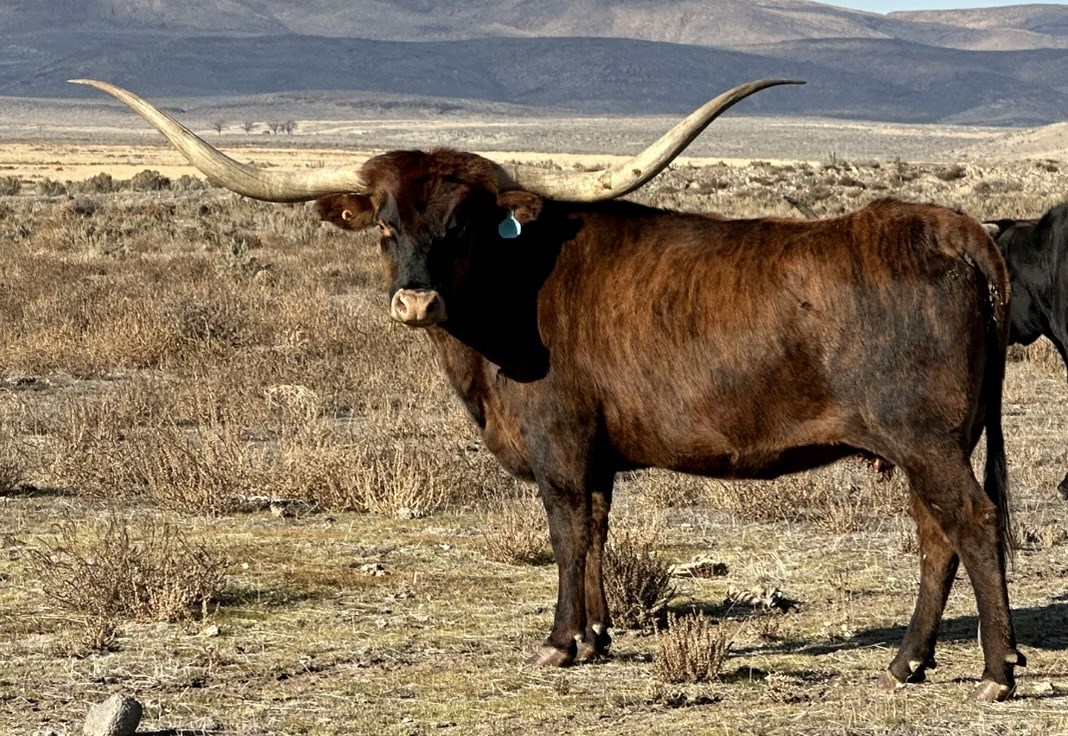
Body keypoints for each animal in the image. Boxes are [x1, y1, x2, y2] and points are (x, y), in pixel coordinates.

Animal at [73, 78, 1024, 701]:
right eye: (386, 224)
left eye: (462, 224)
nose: (414, 301)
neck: (514, 289)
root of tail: (952, 228)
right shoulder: (596, 455)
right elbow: (597, 531)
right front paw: (599, 636)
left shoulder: (559, 443)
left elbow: (567, 532)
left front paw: (563, 643)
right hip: (923, 446)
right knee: (936, 537)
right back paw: (908, 662)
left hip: (928, 441)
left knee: (973, 524)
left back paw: (995, 672)